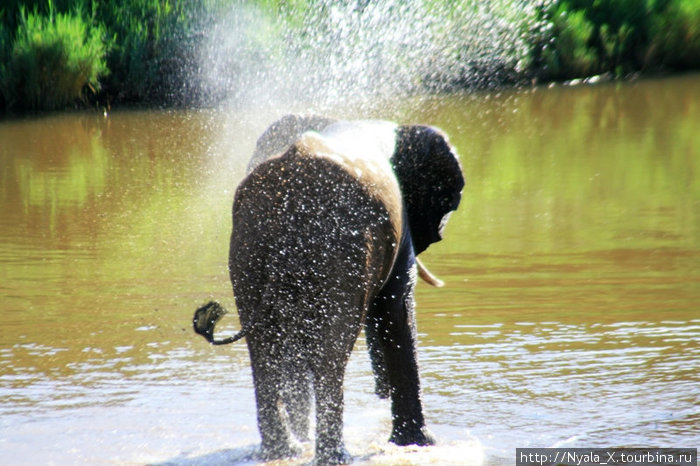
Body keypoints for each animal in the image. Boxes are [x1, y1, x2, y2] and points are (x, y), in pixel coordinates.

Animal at [193, 114, 464, 464]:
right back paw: (335, 456)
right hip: (338, 248)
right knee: (331, 351)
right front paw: (420, 445)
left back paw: (284, 451)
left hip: (248, 248)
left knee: (267, 348)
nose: (380, 393)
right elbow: (396, 309)